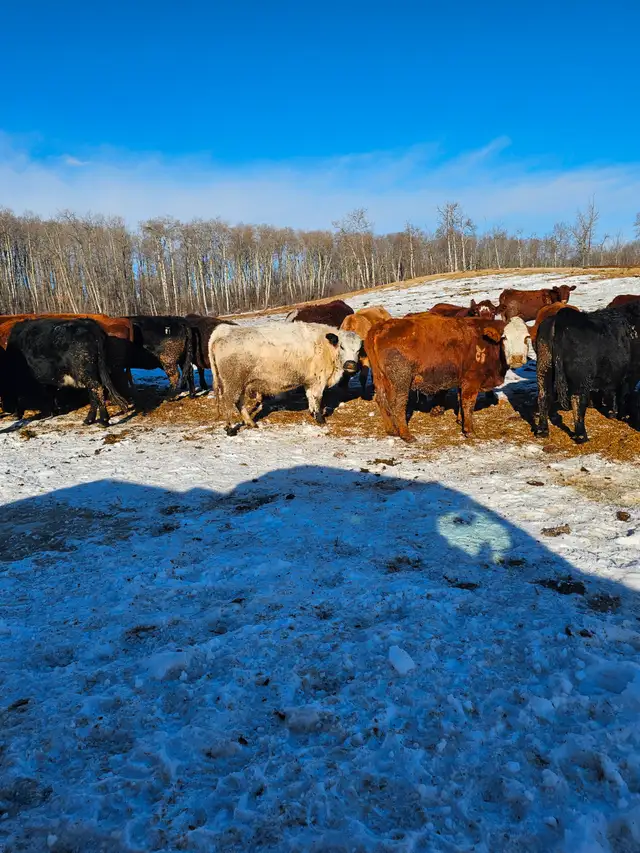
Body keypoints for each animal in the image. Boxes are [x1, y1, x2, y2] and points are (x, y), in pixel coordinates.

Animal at [208, 322, 362, 433]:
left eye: (359, 349)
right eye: (341, 346)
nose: (350, 364)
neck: (325, 346)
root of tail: (225, 330)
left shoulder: (310, 381)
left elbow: (310, 397)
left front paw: (312, 413)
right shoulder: (319, 380)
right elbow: (317, 399)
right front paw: (320, 419)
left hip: (239, 383)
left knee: (238, 402)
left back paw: (250, 422)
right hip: (232, 382)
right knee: (228, 402)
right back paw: (230, 428)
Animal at [365, 315, 531, 442]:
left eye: (526, 337)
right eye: (505, 338)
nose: (517, 358)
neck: (485, 342)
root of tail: (380, 327)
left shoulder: (462, 381)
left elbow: (460, 400)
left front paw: (460, 421)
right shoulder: (471, 381)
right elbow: (468, 403)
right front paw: (469, 430)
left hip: (380, 378)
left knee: (381, 400)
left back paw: (392, 430)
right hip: (401, 381)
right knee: (398, 405)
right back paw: (406, 435)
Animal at [535, 303, 640, 443]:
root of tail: (562, 318)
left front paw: (613, 412)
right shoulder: (632, 372)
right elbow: (624, 393)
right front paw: (624, 415)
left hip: (544, 367)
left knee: (544, 395)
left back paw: (542, 430)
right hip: (581, 378)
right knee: (578, 400)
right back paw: (581, 436)